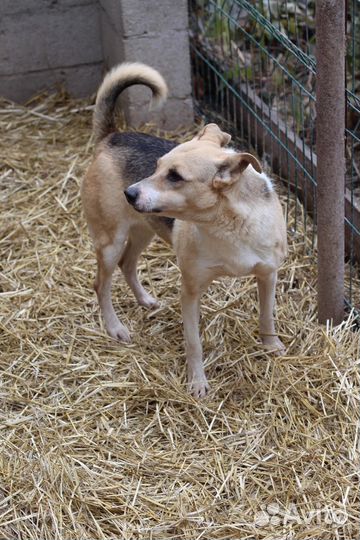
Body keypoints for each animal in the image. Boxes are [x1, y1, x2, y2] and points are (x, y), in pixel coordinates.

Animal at [81, 62, 286, 396]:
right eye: (156, 166)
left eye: (175, 176)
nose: (129, 193)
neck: (228, 226)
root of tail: (111, 137)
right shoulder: (190, 291)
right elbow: (194, 343)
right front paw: (198, 382)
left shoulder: (268, 275)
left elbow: (266, 317)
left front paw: (272, 347)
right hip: (111, 240)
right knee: (102, 284)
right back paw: (115, 327)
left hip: (144, 230)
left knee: (128, 264)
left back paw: (145, 300)